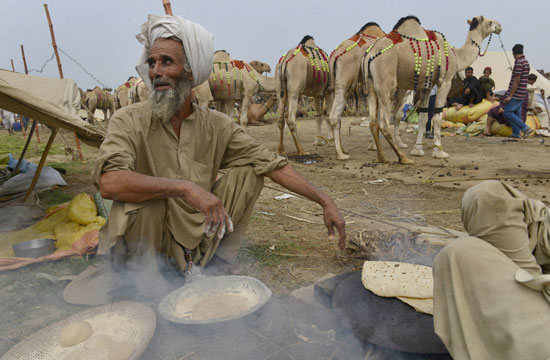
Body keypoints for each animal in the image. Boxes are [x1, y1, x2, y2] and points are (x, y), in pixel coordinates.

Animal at [328, 21, 388, 159]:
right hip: (345, 79)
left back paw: (342, 149)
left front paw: (373, 146)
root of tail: (335, 55)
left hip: (336, 84)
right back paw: (340, 154)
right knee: (333, 116)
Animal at [364, 15, 502, 163]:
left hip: (371, 85)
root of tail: (370, 54)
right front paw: (439, 151)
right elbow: (437, 116)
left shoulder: (426, 86)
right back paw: (403, 157)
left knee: (373, 122)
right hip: (386, 83)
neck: (456, 55)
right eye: (489, 22)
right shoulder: (445, 80)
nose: (500, 27)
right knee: (384, 123)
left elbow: (423, 117)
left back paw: (382, 156)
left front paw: (418, 150)